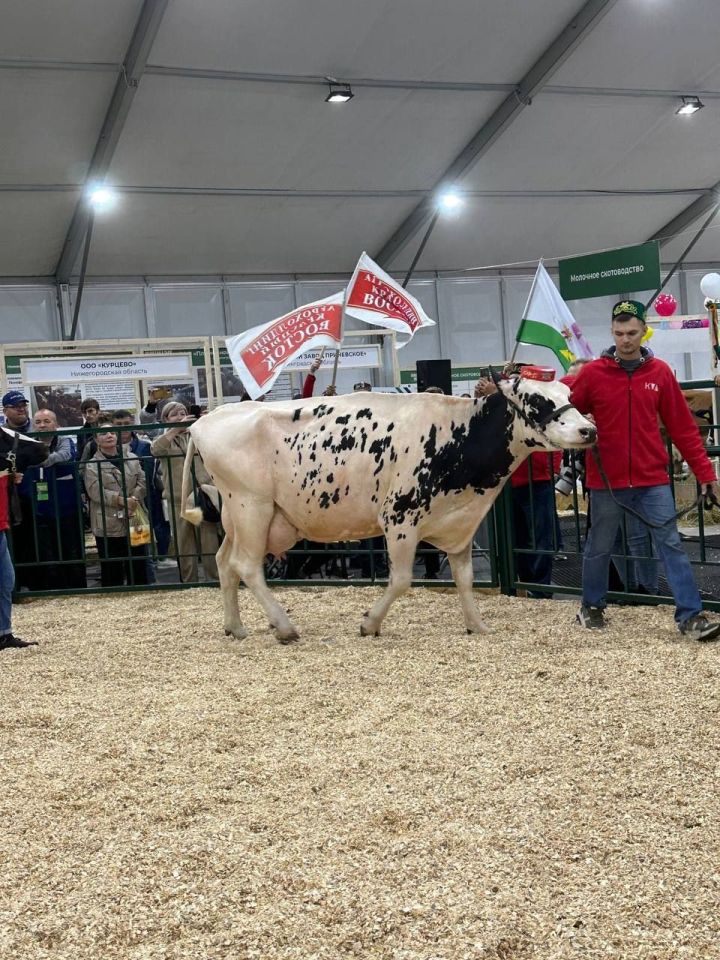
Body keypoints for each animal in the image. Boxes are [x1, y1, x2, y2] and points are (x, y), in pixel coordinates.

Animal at [181, 378, 596, 640]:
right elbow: (400, 580)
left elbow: (463, 579)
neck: (458, 434)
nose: (588, 430)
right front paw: (369, 624)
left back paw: (235, 627)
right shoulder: (400, 518)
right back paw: (284, 627)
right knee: (247, 565)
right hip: (252, 505)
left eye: (568, 392)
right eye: (538, 401)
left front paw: (477, 625)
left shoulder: (460, 523)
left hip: (239, 513)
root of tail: (205, 421)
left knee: (224, 562)